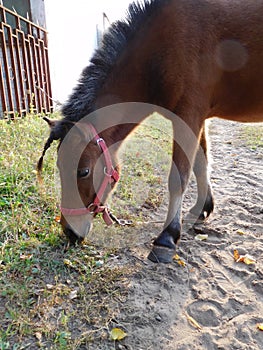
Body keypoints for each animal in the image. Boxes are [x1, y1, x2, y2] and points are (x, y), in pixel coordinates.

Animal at [38, 0, 263, 262]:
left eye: (83, 171)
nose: (69, 231)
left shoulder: (188, 115)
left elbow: (179, 177)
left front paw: (167, 238)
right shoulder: (198, 119)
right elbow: (201, 165)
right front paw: (202, 210)